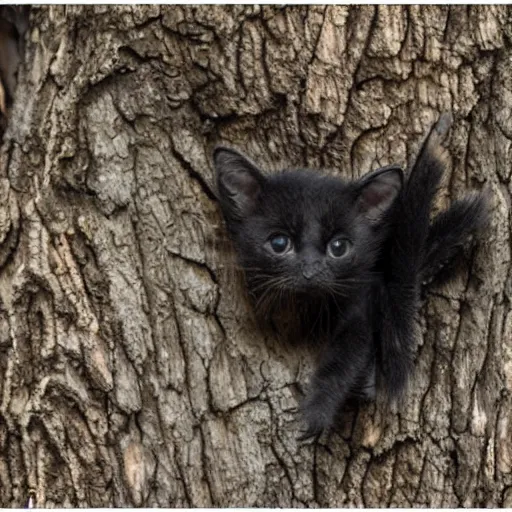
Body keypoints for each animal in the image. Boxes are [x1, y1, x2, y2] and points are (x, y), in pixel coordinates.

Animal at [212, 114, 488, 438]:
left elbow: (344, 359)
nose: (310, 270)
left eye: (339, 247)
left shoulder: (361, 305)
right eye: (279, 243)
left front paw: (316, 413)